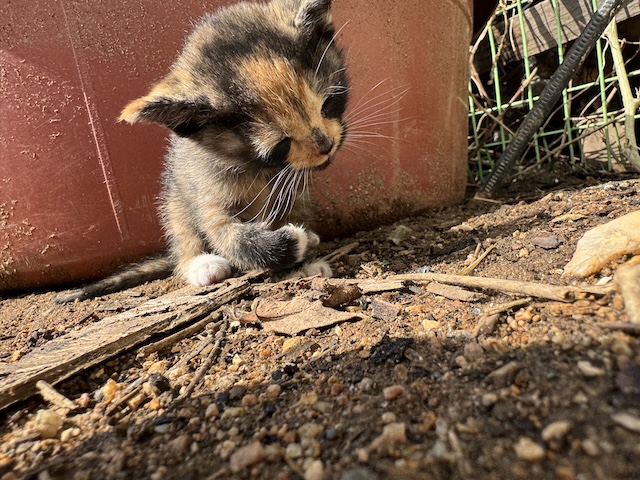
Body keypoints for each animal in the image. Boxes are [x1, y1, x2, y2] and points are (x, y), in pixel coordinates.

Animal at [54, 0, 348, 303]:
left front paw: (306, 257)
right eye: (281, 144)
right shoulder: (208, 195)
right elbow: (232, 239)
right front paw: (295, 242)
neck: (257, 167)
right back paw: (199, 264)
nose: (326, 146)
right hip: (175, 198)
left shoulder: (295, 193)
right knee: (181, 232)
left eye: (328, 105)